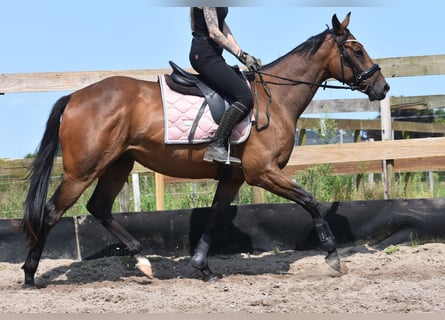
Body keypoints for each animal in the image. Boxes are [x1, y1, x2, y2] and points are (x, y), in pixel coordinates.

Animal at [20, 13, 388, 288]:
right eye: (356, 50)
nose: (382, 87)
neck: (276, 98)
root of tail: (75, 97)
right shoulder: (262, 172)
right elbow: (310, 201)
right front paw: (333, 256)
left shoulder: (234, 177)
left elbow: (214, 216)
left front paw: (203, 267)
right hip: (83, 170)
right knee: (51, 212)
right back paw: (29, 274)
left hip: (118, 164)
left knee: (99, 207)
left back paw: (143, 261)